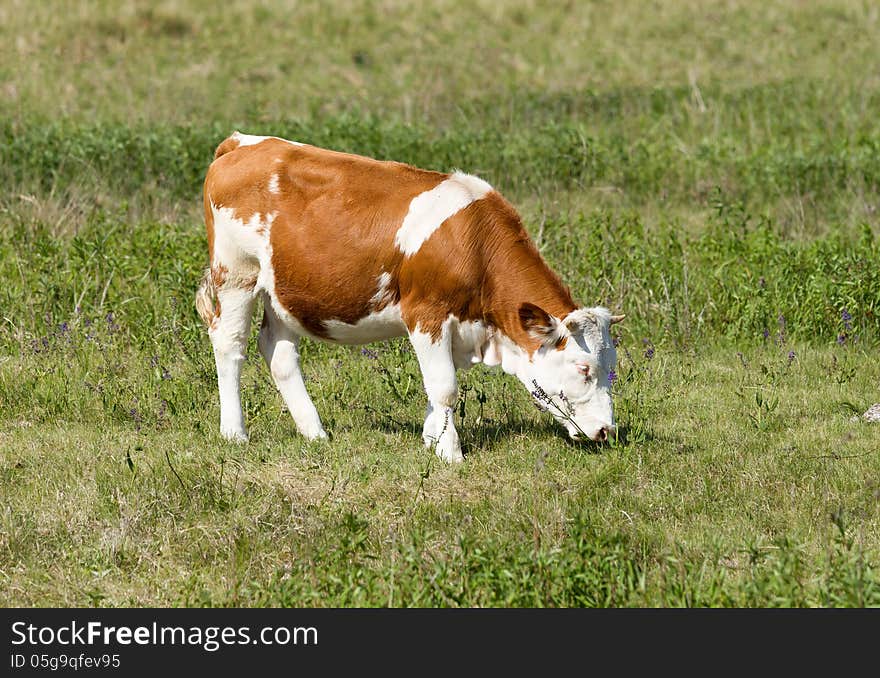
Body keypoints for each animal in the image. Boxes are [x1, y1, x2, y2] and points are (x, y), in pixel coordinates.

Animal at [198, 131, 624, 462]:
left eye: (611, 366)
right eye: (584, 369)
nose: (607, 430)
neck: (475, 243)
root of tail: (242, 143)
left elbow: (438, 387)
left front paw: (432, 437)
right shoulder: (426, 314)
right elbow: (445, 386)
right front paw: (450, 452)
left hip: (285, 290)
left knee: (278, 351)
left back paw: (314, 432)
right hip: (236, 273)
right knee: (230, 344)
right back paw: (234, 432)